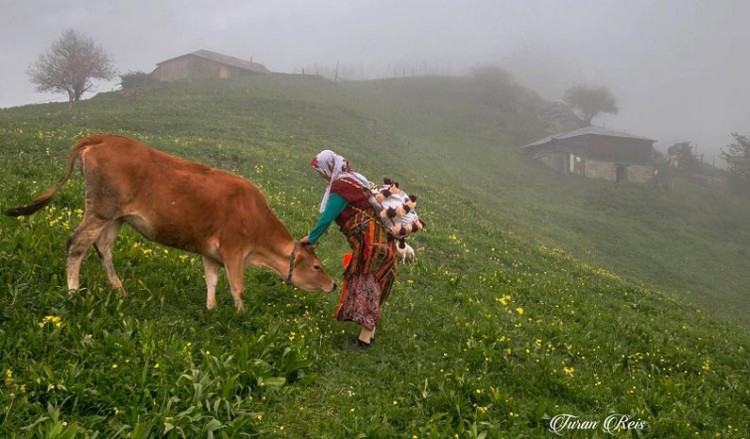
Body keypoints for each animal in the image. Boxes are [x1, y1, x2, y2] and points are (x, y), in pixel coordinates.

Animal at [4, 136, 336, 312]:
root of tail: (104, 137)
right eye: (317, 266)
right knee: (76, 245)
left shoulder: (211, 253)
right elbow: (237, 286)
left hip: (115, 218)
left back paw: (119, 290)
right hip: (99, 211)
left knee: (103, 249)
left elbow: (212, 280)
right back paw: (74, 292)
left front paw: (212, 310)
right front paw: (240, 315)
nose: (333, 284)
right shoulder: (233, 250)